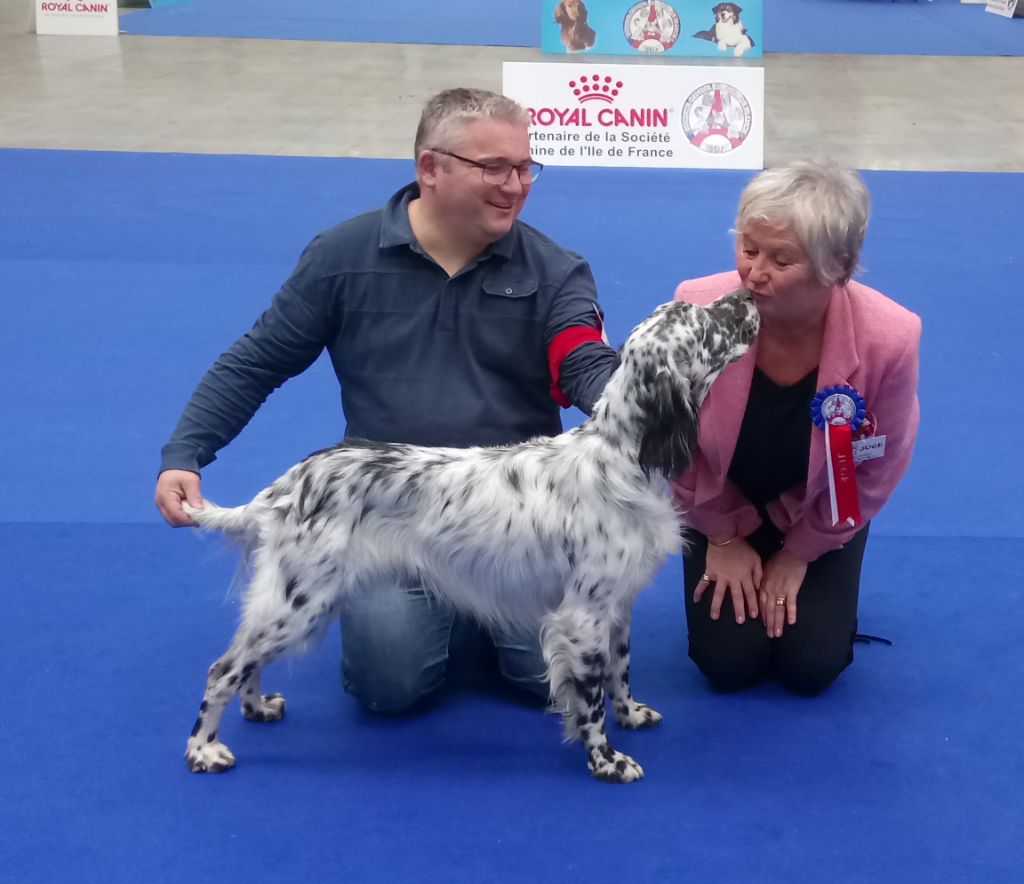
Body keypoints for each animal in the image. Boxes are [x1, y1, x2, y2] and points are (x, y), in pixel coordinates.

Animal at [184, 288, 761, 782]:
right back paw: (205, 749)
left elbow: (620, 672)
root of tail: (287, 485)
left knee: (246, 664)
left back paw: (258, 707)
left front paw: (633, 714)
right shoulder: (582, 618)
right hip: (299, 601)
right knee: (223, 668)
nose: (747, 295)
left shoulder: (616, 607)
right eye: (704, 325)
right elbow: (592, 698)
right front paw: (607, 761)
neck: (622, 456)